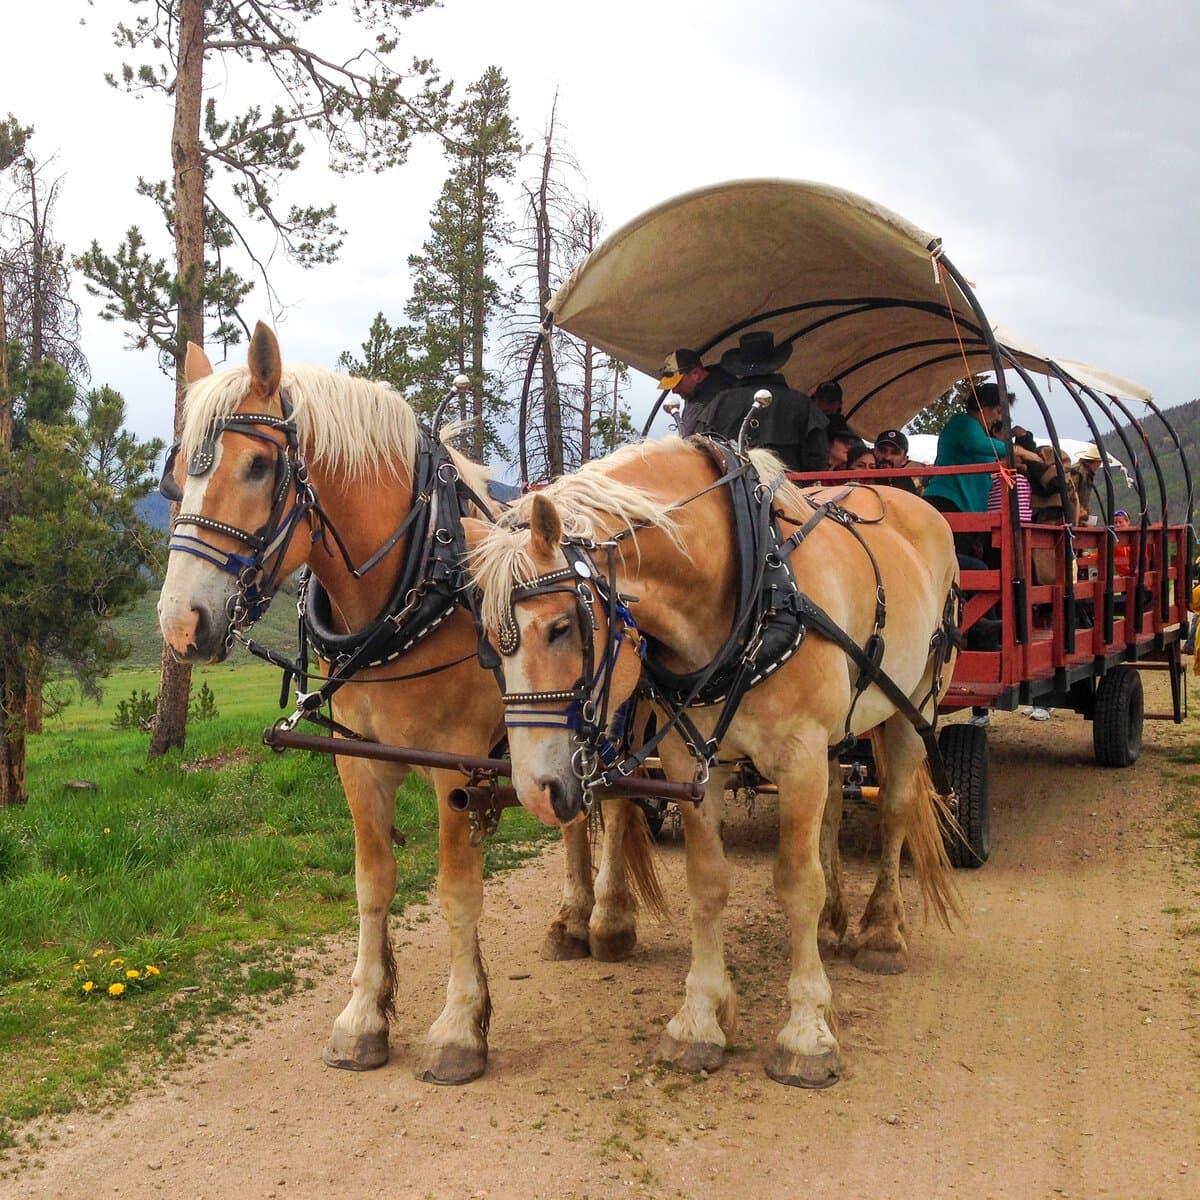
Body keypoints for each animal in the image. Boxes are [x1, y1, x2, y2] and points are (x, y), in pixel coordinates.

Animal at [154, 324, 662, 1084]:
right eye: (179, 470)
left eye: (258, 466)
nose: (181, 625)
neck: (415, 592)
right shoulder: (358, 761)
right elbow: (372, 882)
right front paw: (363, 1018)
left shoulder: (460, 768)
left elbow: (457, 892)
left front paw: (458, 1030)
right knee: (571, 812)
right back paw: (572, 920)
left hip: (618, 721)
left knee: (621, 804)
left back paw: (607, 921)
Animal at [472, 439, 960, 1089]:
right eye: (487, 643)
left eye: (559, 626)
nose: (534, 791)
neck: (753, 591)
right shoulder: (691, 760)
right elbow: (707, 883)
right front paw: (700, 1019)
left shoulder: (800, 756)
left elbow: (796, 882)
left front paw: (807, 1031)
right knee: (834, 807)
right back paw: (835, 921)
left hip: (917, 702)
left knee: (896, 812)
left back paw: (881, 933)